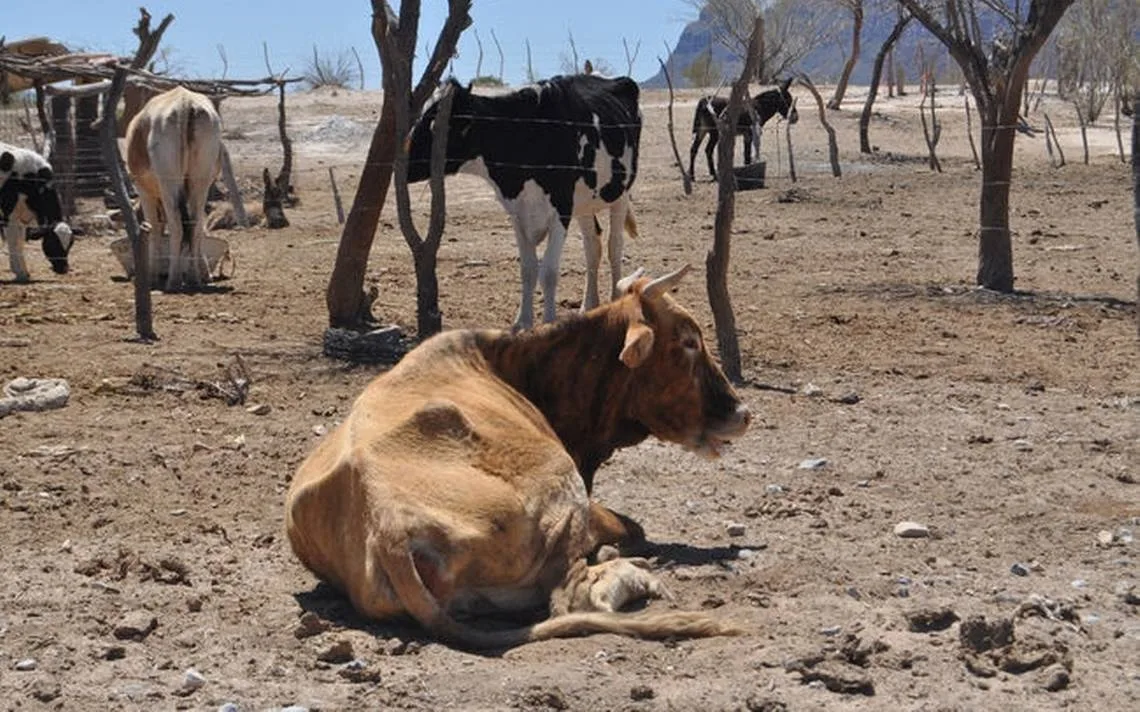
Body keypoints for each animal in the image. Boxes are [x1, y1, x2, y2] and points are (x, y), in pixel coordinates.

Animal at [0, 140, 72, 280]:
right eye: (53, 242)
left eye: (70, 244)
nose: (64, 269)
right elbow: (13, 242)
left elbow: (20, 242)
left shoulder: (22, 217)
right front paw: (19, 272)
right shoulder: (9, 215)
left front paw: (23, 271)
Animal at [125, 86, 223, 291]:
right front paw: (205, 274)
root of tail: (184, 102)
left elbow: (155, 228)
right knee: (194, 225)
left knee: (177, 225)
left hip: (169, 185)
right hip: (200, 183)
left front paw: (152, 276)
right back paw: (193, 278)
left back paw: (174, 280)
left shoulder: (145, 191)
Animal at [285, 264, 752, 647]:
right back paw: (631, 571)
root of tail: (389, 529)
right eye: (688, 341)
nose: (742, 412)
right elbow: (631, 527)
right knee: (574, 598)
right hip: (561, 484)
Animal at [408, 75, 642, 330]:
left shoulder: (561, 209)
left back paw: (614, 301)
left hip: (620, 193)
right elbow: (528, 269)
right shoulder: (517, 212)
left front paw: (548, 322)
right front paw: (522, 322)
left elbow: (548, 271)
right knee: (592, 246)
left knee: (614, 246)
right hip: (584, 203)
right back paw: (588, 306)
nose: (404, 164)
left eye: (434, 126)